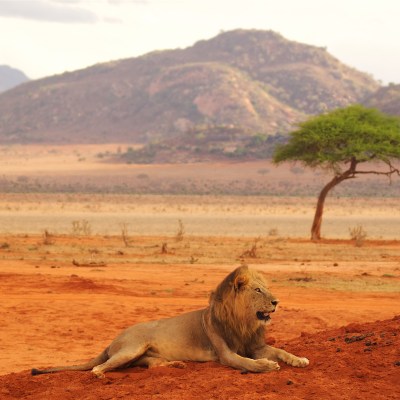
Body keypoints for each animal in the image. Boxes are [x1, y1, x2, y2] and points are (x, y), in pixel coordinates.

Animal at [32, 266, 310, 378]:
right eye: (258, 290)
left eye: (267, 288)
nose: (277, 301)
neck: (243, 321)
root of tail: (113, 340)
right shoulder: (225, 354)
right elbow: (246, 362)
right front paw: (266, 366)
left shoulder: (255, 345)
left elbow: (281, 350)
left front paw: (299, 359)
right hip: (132, 348)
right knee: (99, 367)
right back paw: (100, 375)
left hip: (140, 356)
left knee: (152, 365)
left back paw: (176, 364)